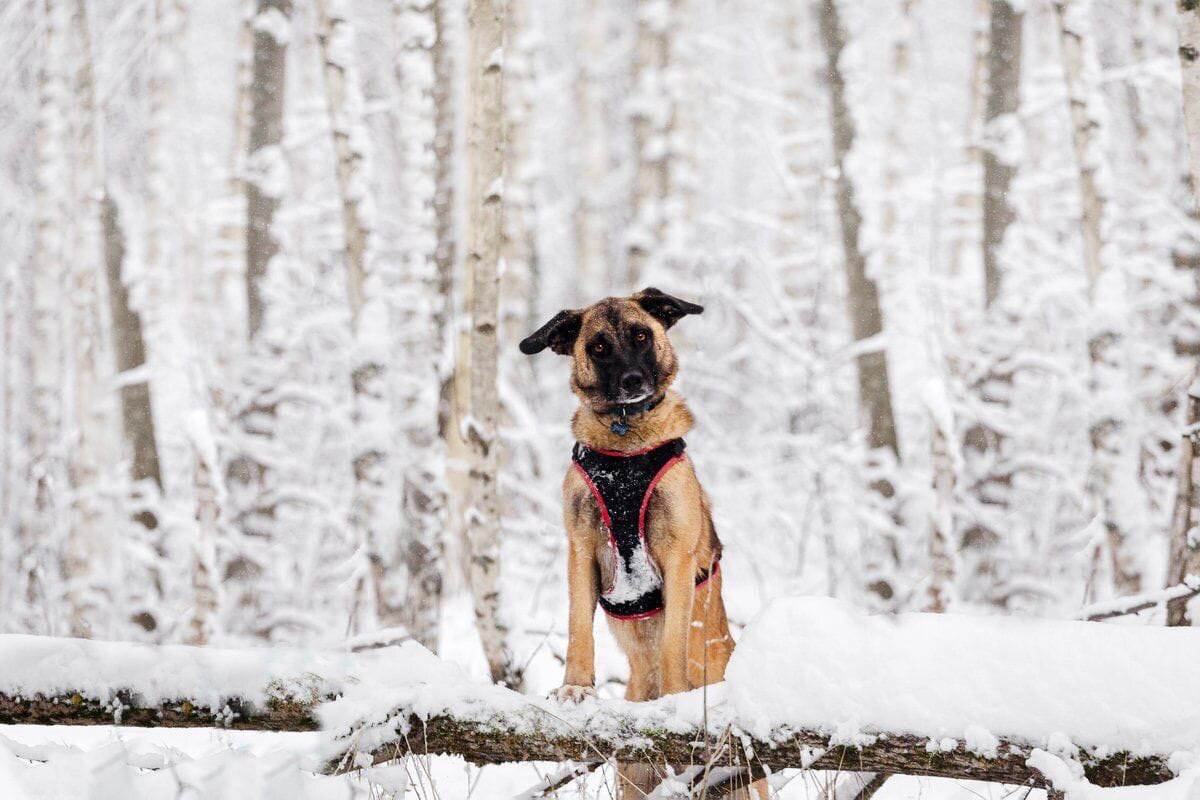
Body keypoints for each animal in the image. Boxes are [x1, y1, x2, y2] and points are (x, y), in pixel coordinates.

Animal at [518, 291, 758, 796]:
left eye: (642, 335)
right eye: (599, 347)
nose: (632, 381)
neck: (625, 445)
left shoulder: (677, 558)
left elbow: (672, 641)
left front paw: (674, 700)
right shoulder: (580, 549)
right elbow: (578, 628)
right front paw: (576, 686)